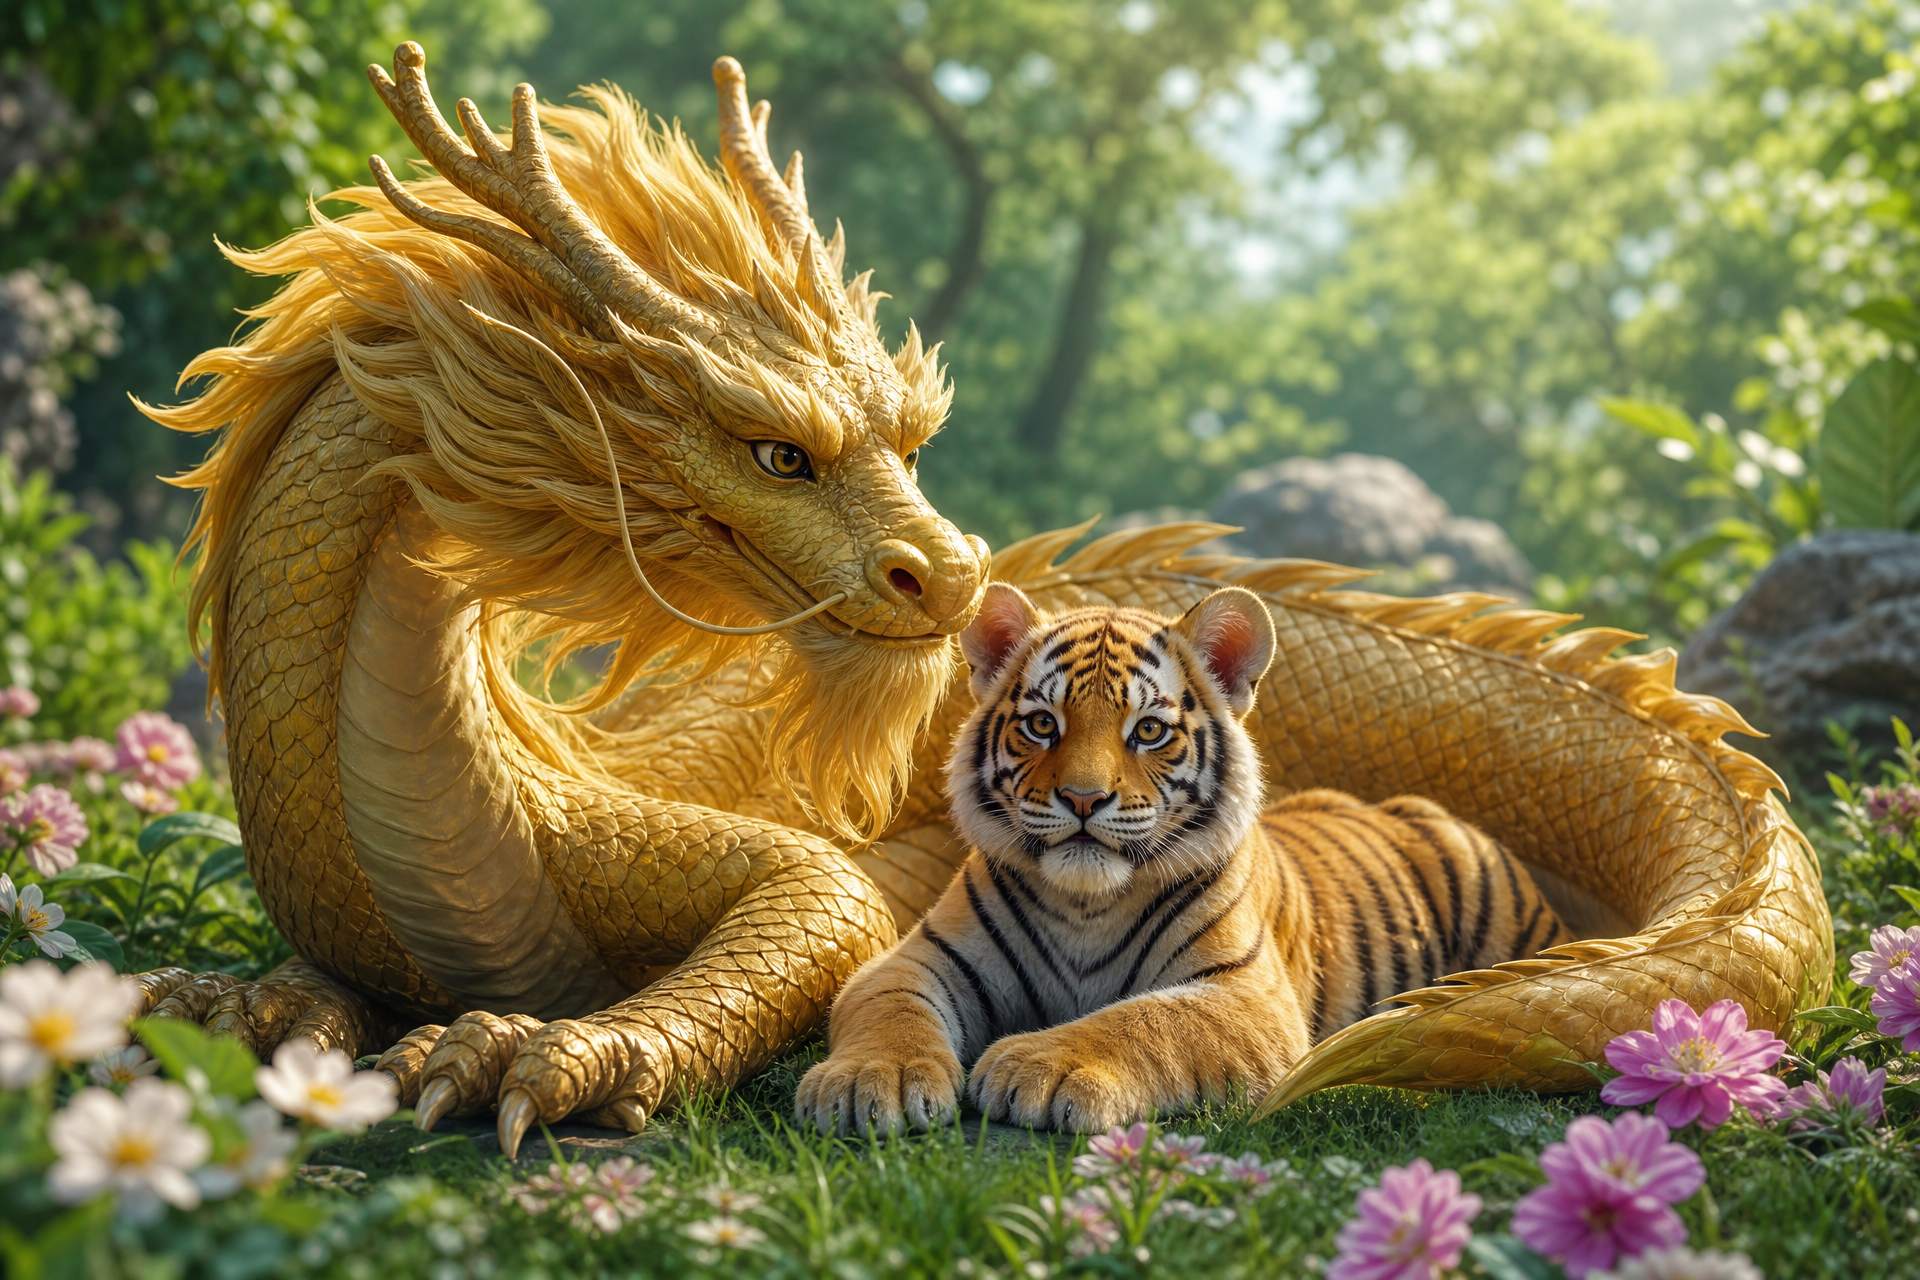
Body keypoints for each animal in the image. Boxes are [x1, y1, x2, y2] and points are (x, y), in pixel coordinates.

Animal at [794, 583, 1576, 1135]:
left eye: (1148, 731)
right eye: (1043, 724)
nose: (1084, 798)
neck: (1086, 906)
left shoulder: (1246, 995)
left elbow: (1144, 1022)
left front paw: (1039, 1066)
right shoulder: (920, 957)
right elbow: (891, 1007)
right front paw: (869, 1082)